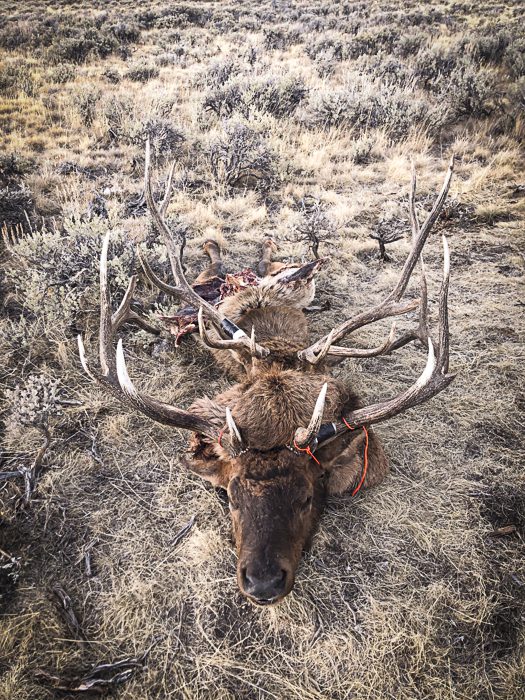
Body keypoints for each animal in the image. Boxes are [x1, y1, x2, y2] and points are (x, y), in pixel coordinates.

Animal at [78, 141, 455, 606]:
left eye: (308, 496)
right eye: (230, 496)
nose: (263, 583)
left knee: (266, 263)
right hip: (212, 286)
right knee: (221, 271)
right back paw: (214, 250)